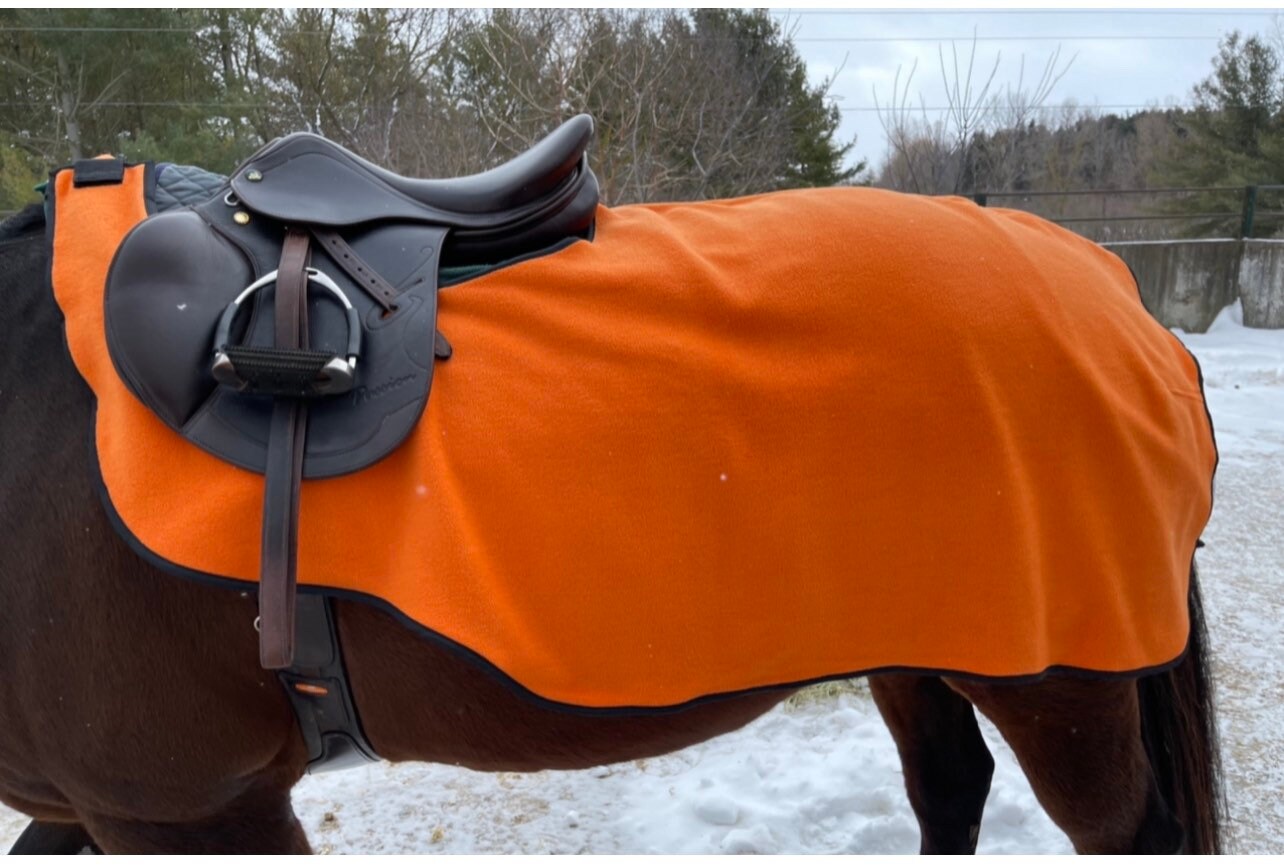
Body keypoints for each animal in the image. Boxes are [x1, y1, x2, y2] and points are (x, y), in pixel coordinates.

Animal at [0, 163, 1223, 854]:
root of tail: (1113, 285)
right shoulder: (96, 799)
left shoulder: (184, 801)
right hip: (931, 636)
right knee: (950, 789)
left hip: (1063, 675)